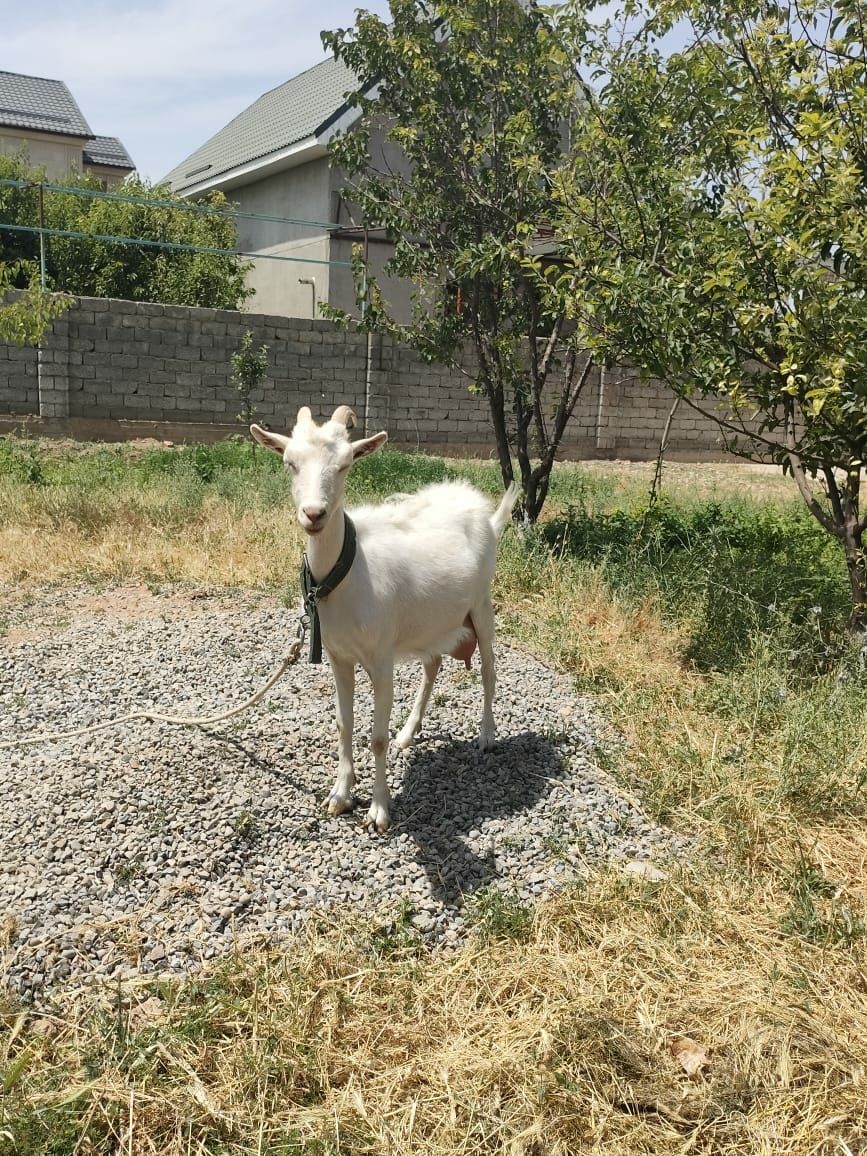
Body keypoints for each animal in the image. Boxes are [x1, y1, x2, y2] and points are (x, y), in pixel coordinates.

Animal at [247, 406, 520, 832]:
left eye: (344, 465)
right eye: (290, 463)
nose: (314, 514)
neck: (349, 571)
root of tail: (484, 511)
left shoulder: (381, 659)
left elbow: (376, 738)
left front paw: (378, 810)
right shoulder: (339, 657)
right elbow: (343, 724)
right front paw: (340, 795)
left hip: (481, 604)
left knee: (490, 669)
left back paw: (487, 735)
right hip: (431, 621)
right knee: (433, 664)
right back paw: (408, 732)